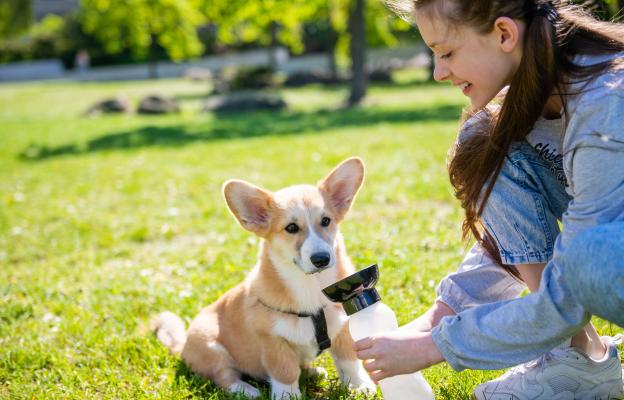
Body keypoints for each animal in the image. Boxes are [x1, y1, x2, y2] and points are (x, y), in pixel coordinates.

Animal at [151, 158, 376, 398]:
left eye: (326, 221)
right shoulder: (272, 342)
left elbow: (349, 361)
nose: (322, 259)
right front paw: (288, 397)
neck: (309, 285)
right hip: (212, 347)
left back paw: (314, 372)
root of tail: (183, 345)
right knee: (224, 377)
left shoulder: (342, 327)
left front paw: (360, 386)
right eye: (291, 228)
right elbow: (285, 373)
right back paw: (248, 391)